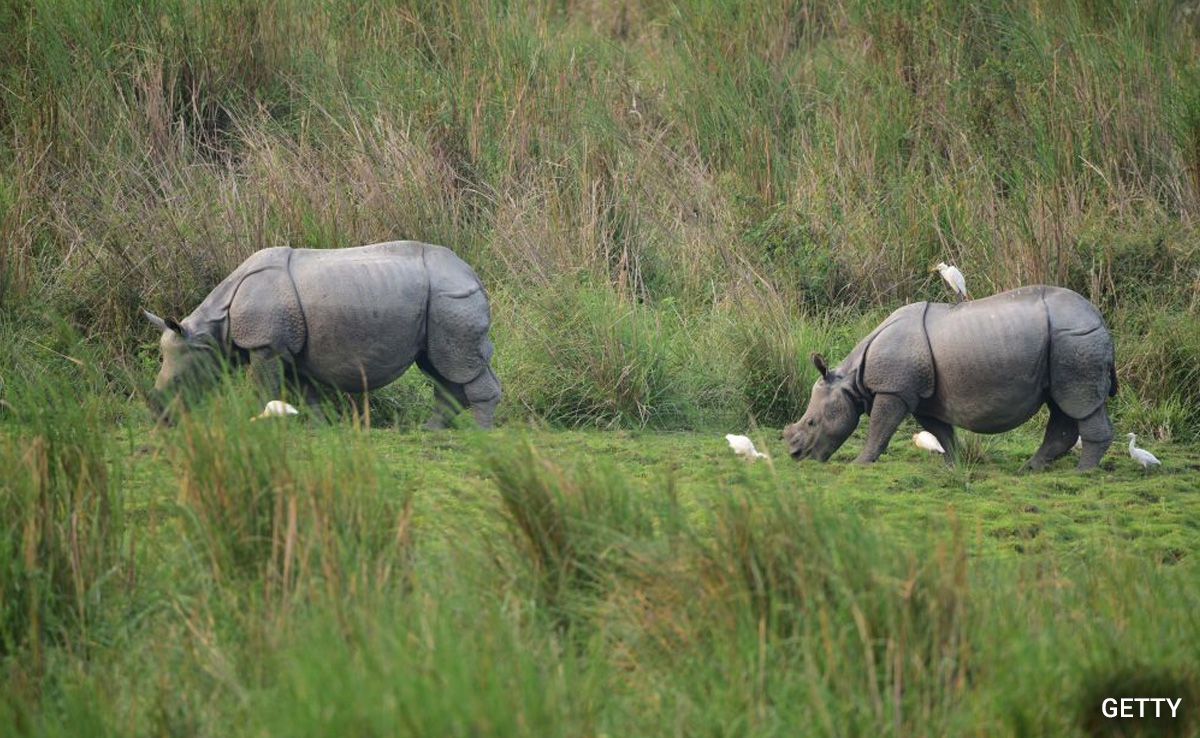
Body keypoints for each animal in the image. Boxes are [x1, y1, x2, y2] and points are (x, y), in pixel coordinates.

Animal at [144, 241, 501, 427]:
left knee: (458, 364)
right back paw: (431, 430)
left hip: (451, 298)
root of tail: (473, 275)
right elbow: (305, 393)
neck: (214, 328)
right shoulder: (289, 348)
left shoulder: (266, 345)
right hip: (439, 304)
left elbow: (264, 388)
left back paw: (479, 433)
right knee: (440, 365)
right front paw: (319, 426)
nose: (161, 418)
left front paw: (258, 420)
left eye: (180, 383)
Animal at [783, 286, 1117, 470]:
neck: (852, 381)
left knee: (1079, 403)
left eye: (811, 422)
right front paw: (952, 465)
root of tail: (1098, 317)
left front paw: (860, 464)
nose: (796, 456)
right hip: (1066, 344)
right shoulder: (921, 397)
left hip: (1074, 340)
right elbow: (941, 432)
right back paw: (1030, 469)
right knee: (1062, 405)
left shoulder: (894, 390)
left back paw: (1082, 472)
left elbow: (879, 428)